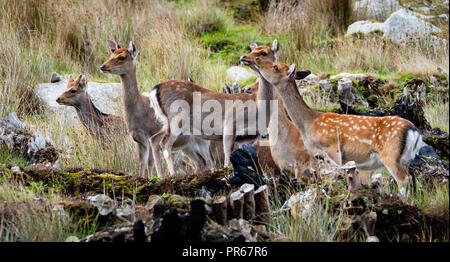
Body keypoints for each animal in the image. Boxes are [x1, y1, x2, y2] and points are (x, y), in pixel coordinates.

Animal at [100, 39, 214, 178]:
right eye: (111, 54)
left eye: (121, 57)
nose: (102, 66)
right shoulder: (138, 140)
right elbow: (142, 162)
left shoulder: (150, 134)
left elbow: (150, 162)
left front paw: (155, 177)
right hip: (187, 146)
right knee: (199, 162)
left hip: (200, 141)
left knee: (207, 160)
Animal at [251, 58, 424, 194]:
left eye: (276, 67)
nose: (257, 61)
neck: (308, 124)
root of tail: (415, 132)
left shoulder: (332, 148)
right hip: (405, 159)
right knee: (410, 178)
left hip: (391, 154)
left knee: (404, 179)